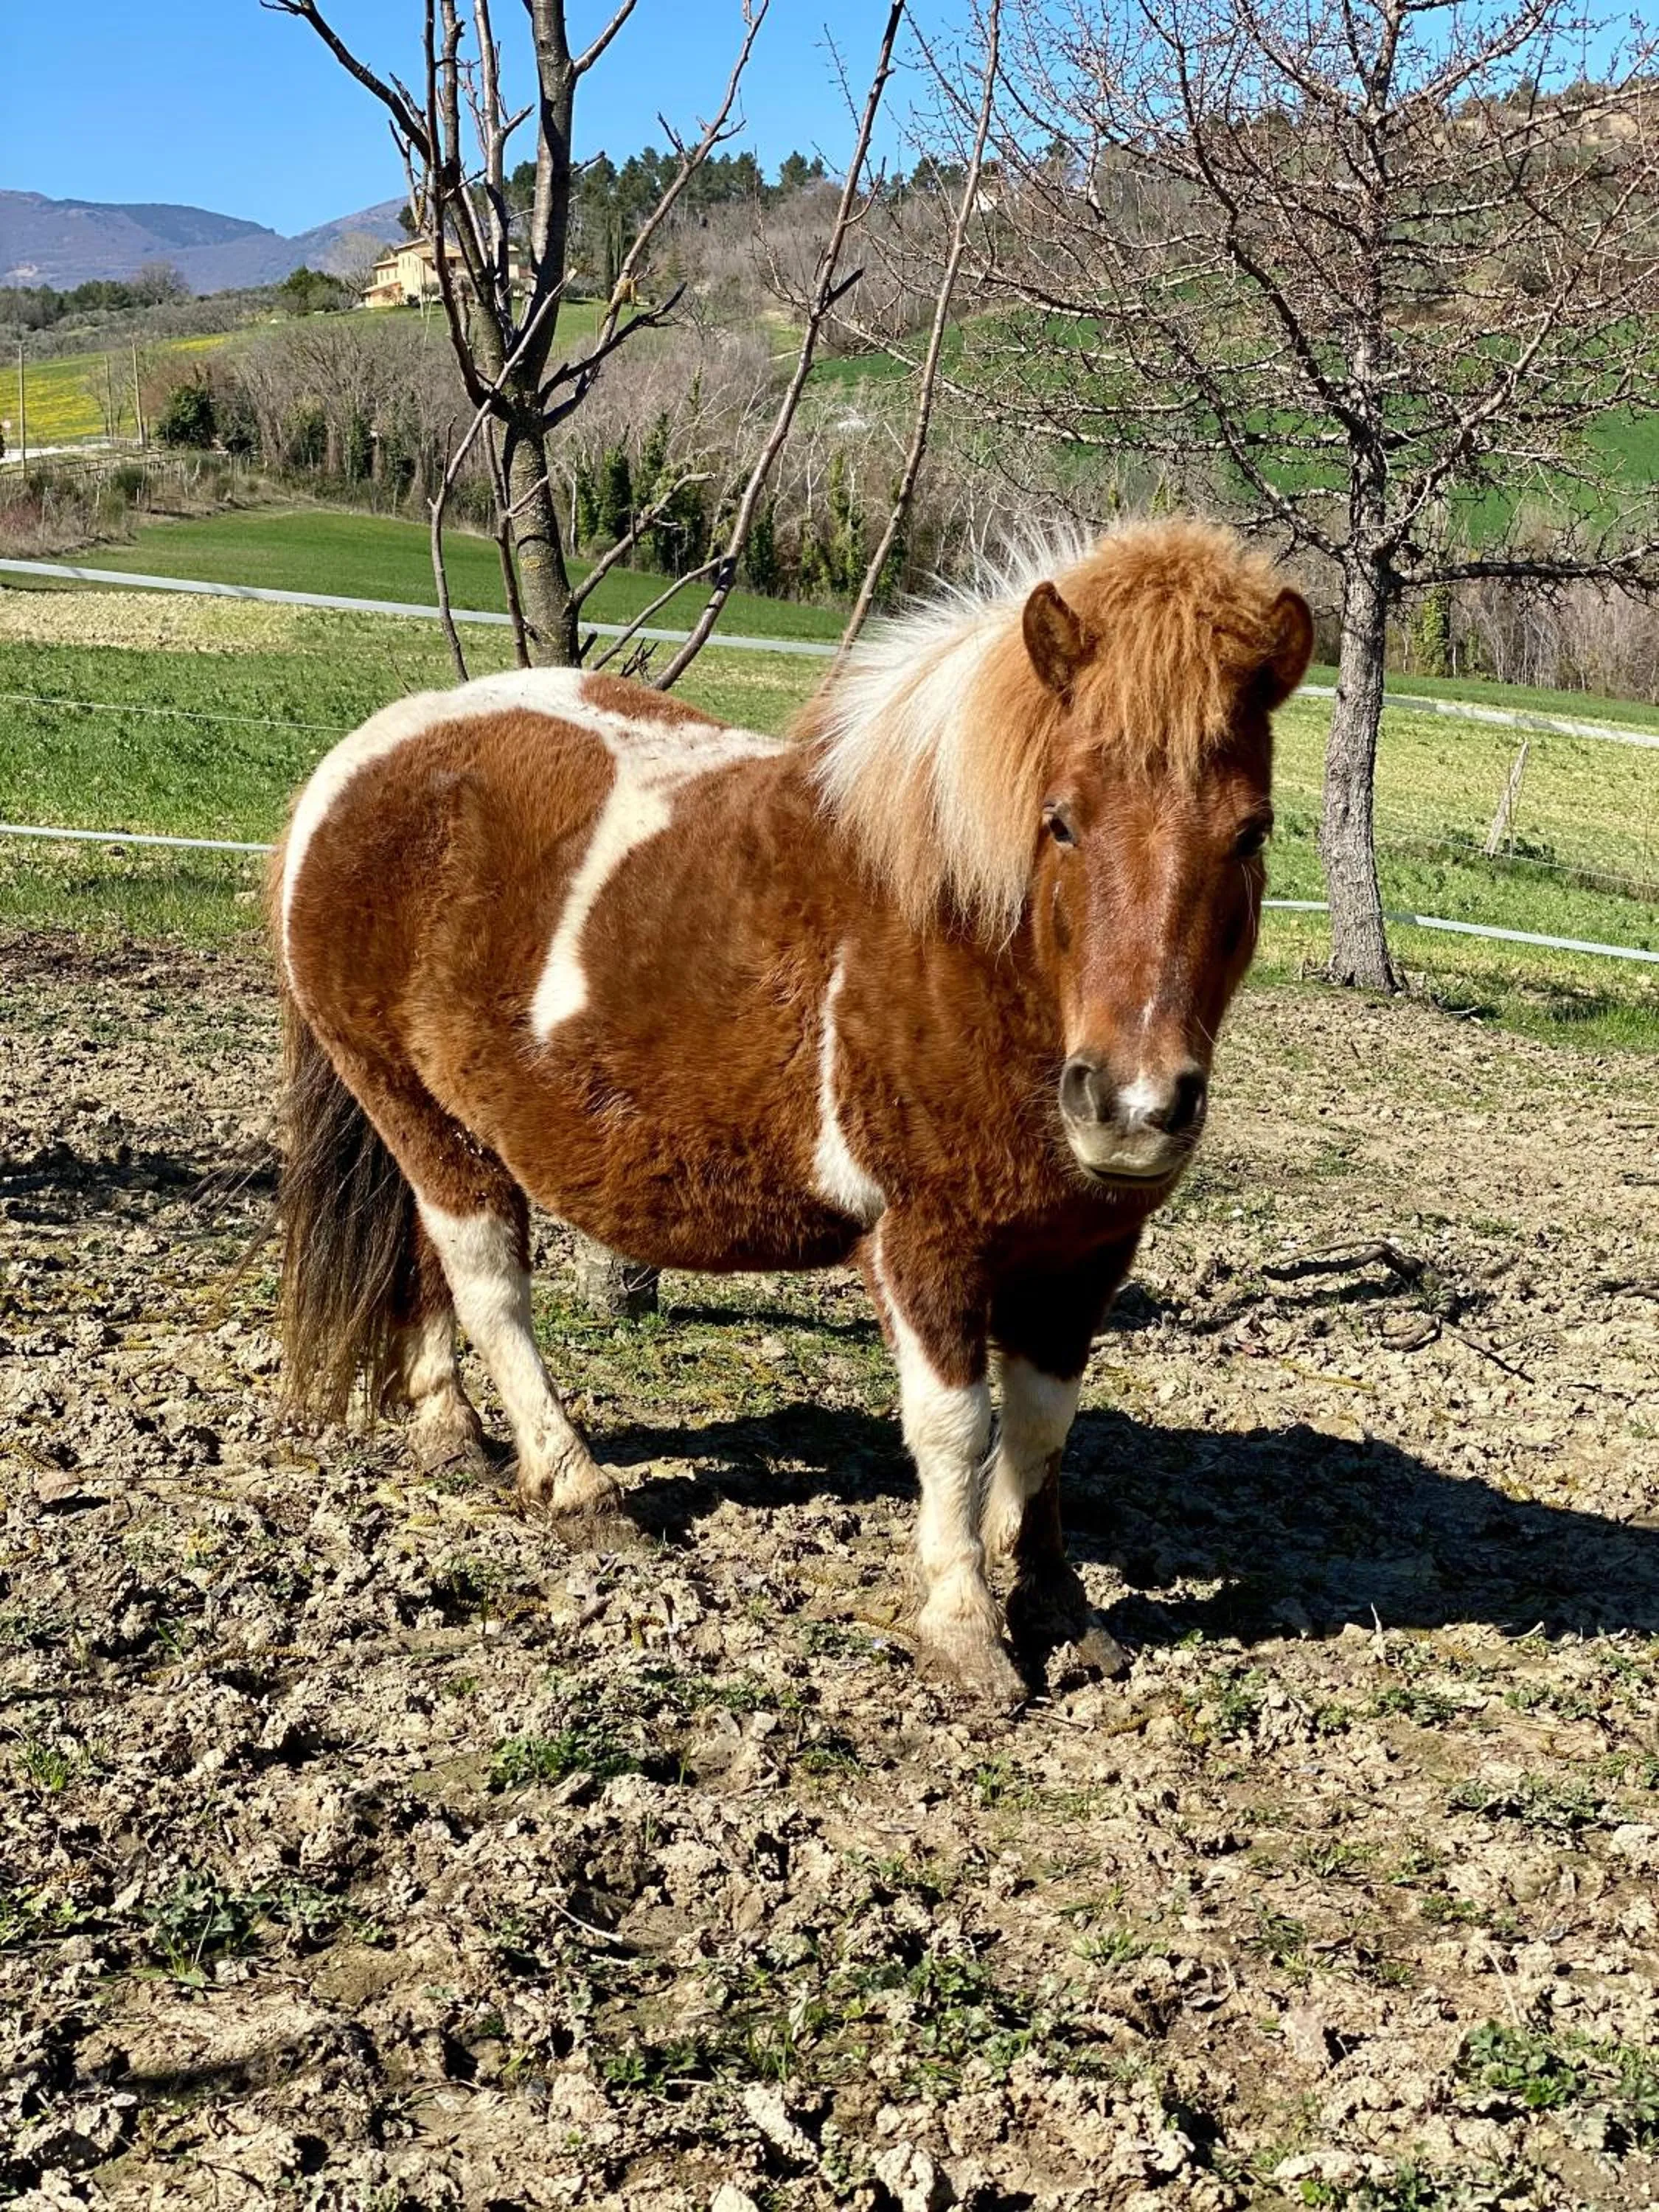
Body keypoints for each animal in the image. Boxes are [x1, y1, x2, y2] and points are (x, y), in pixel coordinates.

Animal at [272, 518, 1312, 1702]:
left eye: (1250, 833)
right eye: (1061, 823)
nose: (1133, 1107)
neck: (962, 943)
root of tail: (359, 761)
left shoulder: (1085, 1250)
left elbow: (1044, 1429)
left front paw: (1058, 1610)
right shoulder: (924, 1241)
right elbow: (956, 1431)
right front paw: (965, 1631)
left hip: (435, 1126)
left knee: (427, 1264)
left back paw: (449, 1431)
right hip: (414, 1113)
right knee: (490, 1289)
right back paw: (579, 1489)